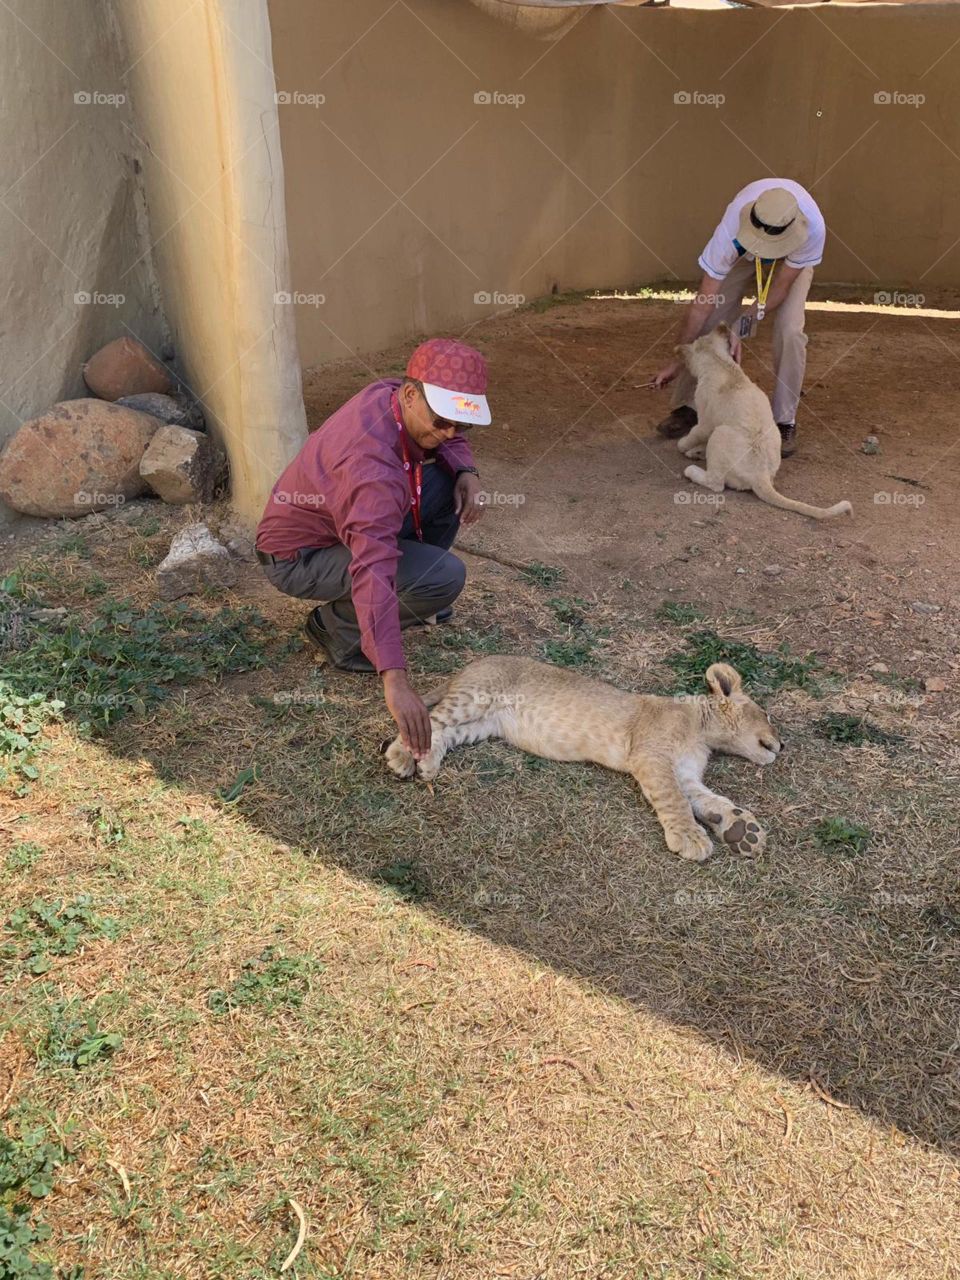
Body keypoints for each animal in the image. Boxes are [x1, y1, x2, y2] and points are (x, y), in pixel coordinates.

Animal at [383, 656, 782, 862]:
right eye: (766, 715)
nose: (781, 744)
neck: (701, 729)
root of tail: (469, 665)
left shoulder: (686, 773)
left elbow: (710, 800)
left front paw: (742, 830)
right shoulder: (650, 756)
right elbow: (676, 802)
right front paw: (690, 838)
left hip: (484, 724)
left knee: (444, 733)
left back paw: (428, 763)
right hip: (474, 698)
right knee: (428, 719)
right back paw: (401, 757)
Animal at [675, 325, 853, 520]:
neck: (721, 363)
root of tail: (760, 475)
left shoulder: (705, 423)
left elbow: (691, 436)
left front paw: (683, 446)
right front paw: (695, 449)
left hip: (719, 434)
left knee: (716, 483)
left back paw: (691, 468)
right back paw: (698, 455)